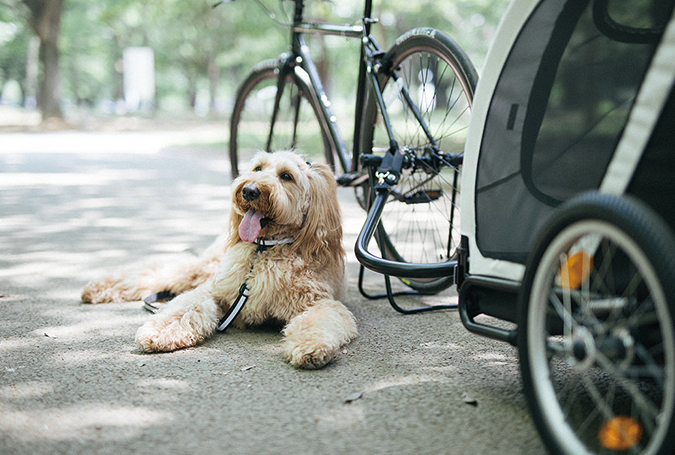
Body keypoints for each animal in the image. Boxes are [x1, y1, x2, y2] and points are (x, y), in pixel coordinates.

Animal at [82, 151, 360, 368]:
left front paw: (310, 345)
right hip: (203, 269)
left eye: (286, 176)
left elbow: (319, 320)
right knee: (160, 270)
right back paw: (98, 288)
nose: (249, 190)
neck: (264, 250)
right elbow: (185, 307)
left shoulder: (320, 303)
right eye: (258, 168)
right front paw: (160, 330)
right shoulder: (214, 290)